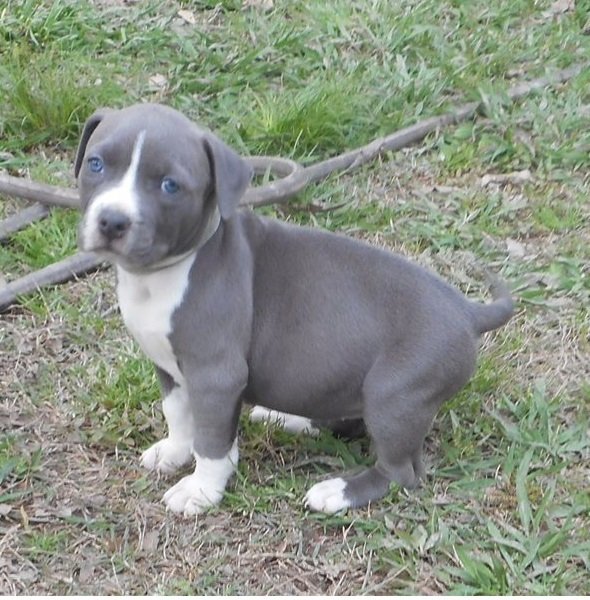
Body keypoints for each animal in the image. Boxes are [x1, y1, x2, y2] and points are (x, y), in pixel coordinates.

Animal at [75, 103, 513, 515]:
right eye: (96, 164)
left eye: (170, 185)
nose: (112, 220)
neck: (161, 276)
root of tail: (467, 311)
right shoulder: (168, 366)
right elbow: (178, 413)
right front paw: (175, 451)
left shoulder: (216, 376)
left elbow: (212, 442)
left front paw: (200, 489)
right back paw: (286, 418)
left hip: (396, 393)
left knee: (400, 472)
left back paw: (337, 492)